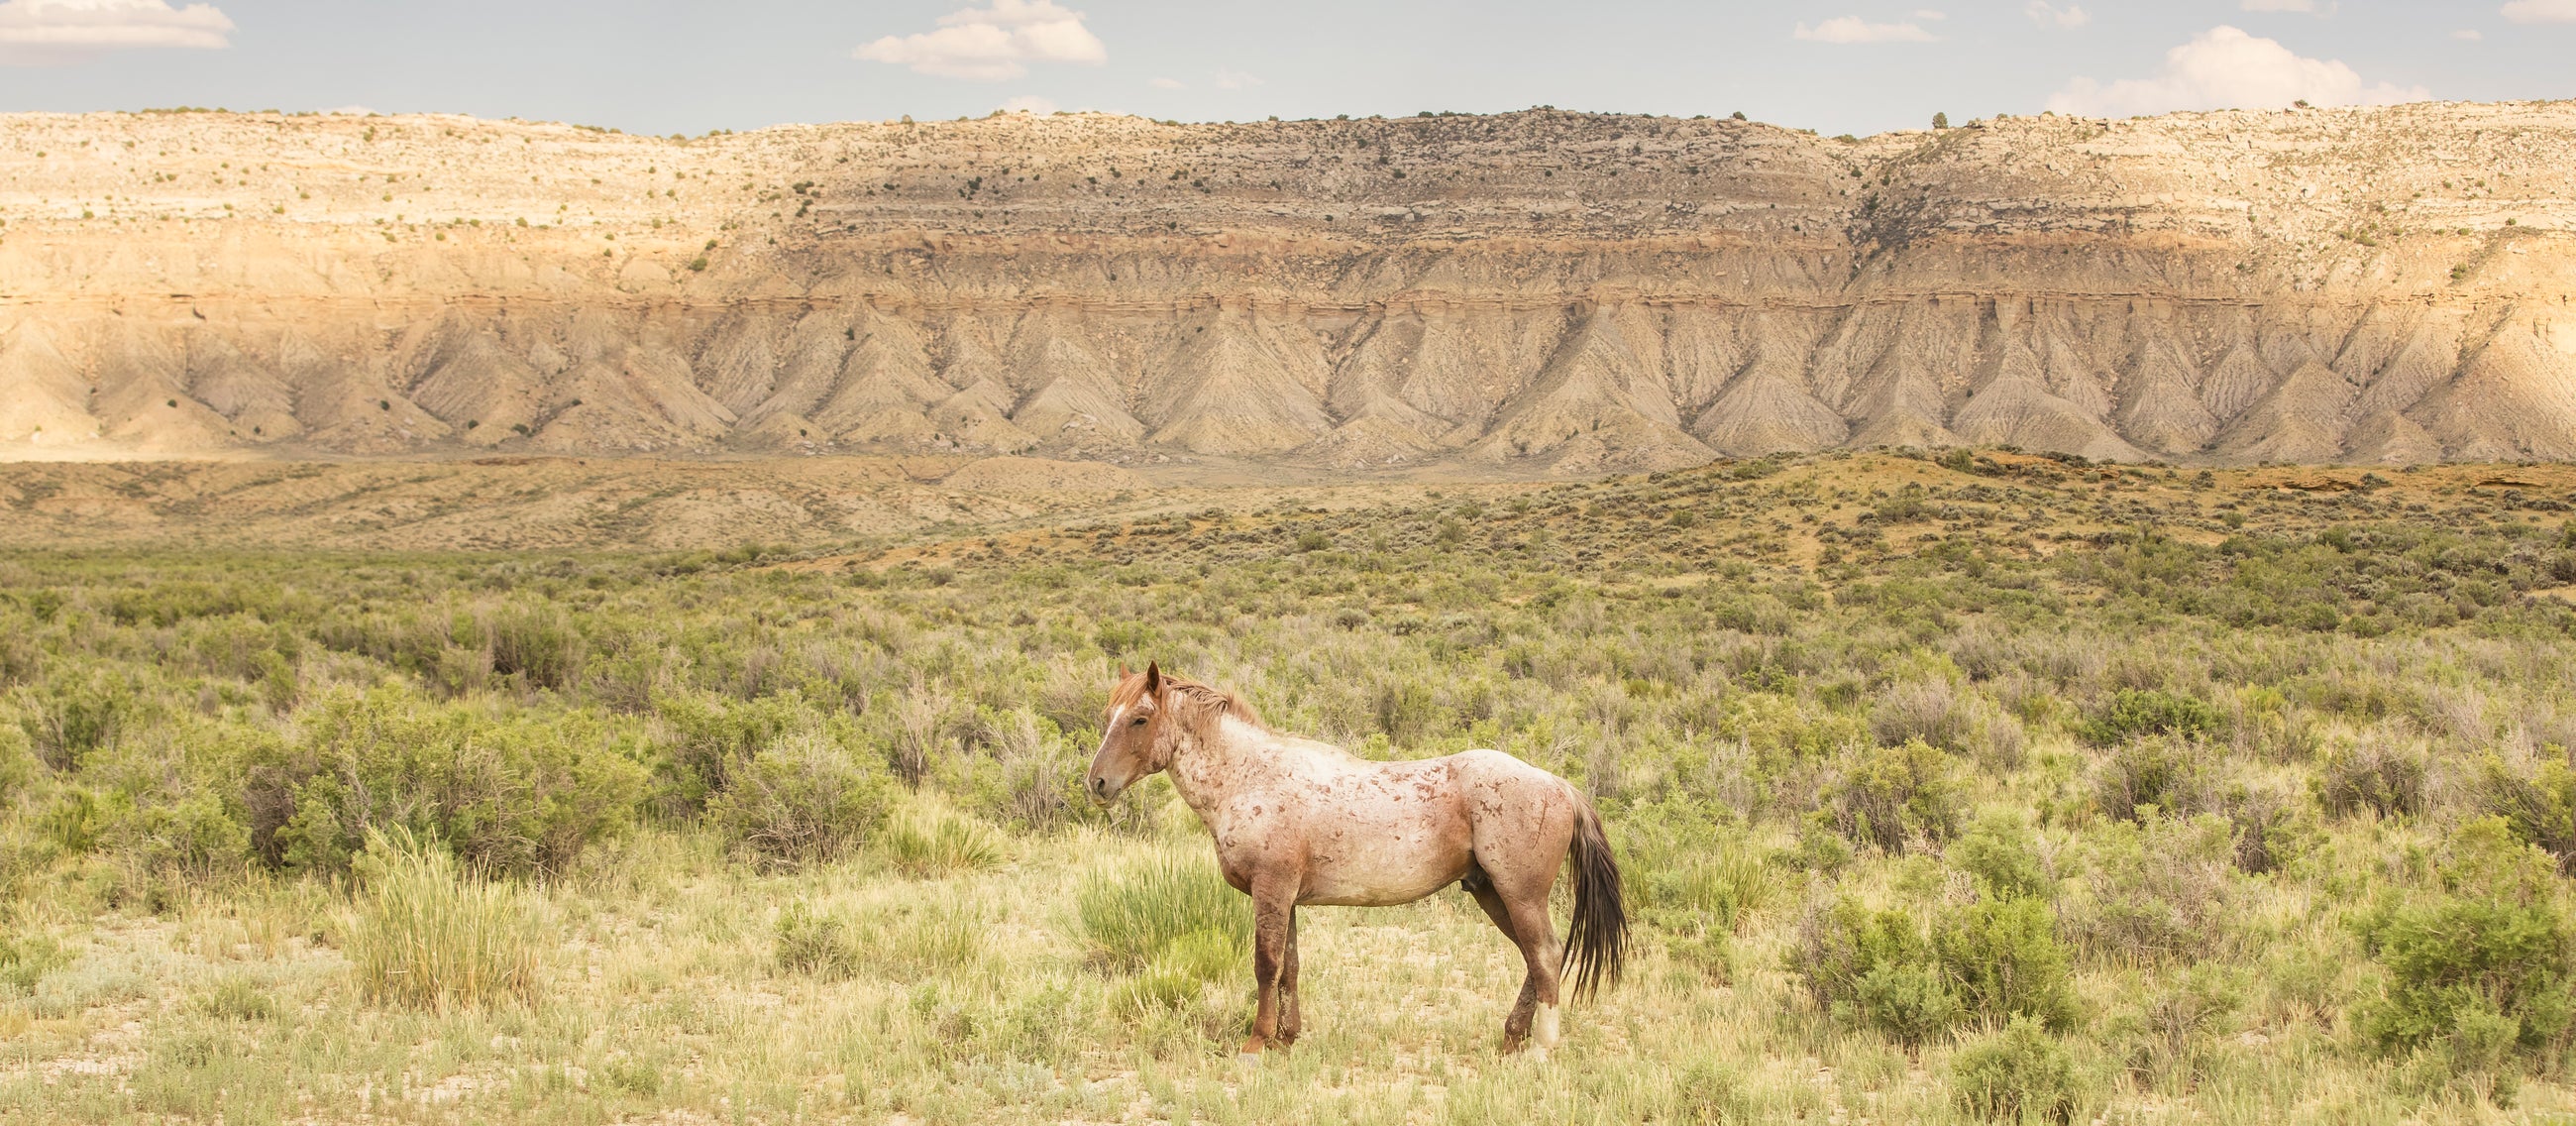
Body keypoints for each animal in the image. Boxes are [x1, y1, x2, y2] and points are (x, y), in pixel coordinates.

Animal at [1087, 664, 1628, 1067]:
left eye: (1139, 719)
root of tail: (1558, 785)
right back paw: (1511, 1039)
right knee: (1535, 960)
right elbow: (1290, 967)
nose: (1096, 783)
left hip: (1520, 894)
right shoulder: (1286, 899)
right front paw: (1286, 1038)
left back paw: (1541, 1048)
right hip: (1493, 894)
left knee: (1545, 956)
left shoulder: (1271, 890)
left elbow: (1266, 965)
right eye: (1109, 713)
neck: (1251, 777)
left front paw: (1257, 1043)